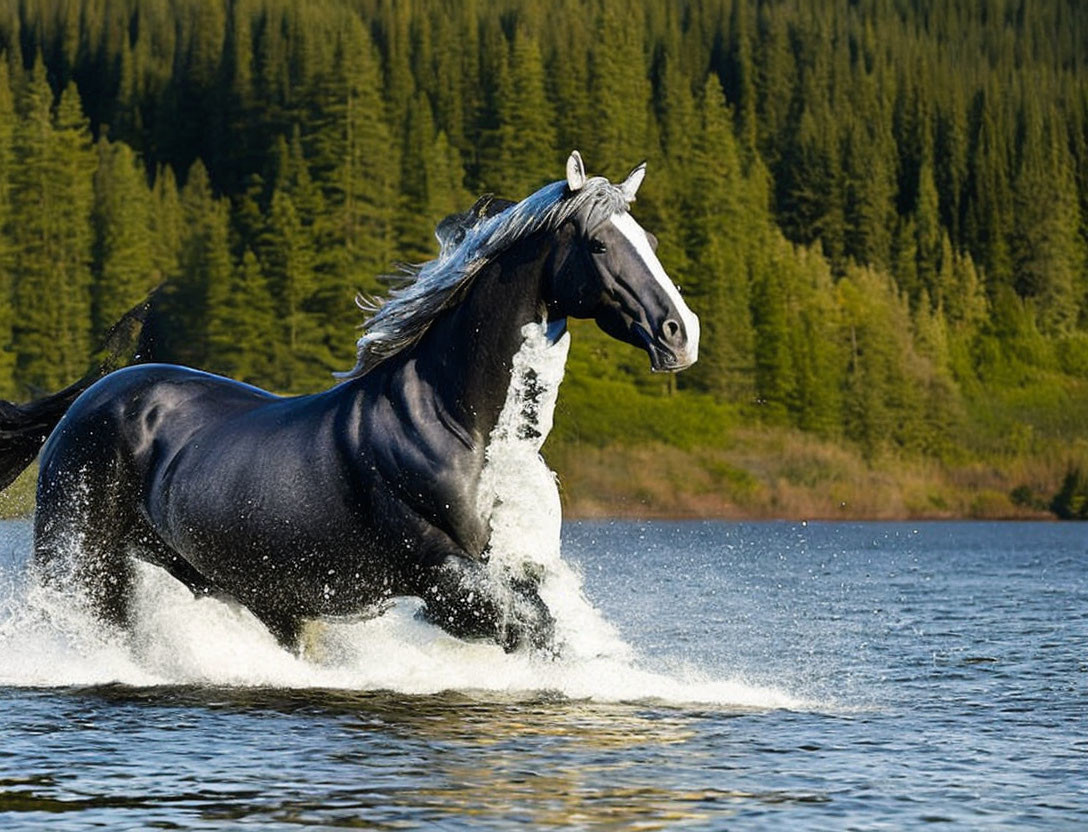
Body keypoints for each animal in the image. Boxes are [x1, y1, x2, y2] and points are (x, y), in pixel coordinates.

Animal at [0, 152, 696, 652]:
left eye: (652, 239)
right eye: (600, 244)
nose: (679, 333)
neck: (457, 427)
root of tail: (89, 400)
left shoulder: (516, 568)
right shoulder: (442, 576)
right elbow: (538, 633)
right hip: (83, 562)